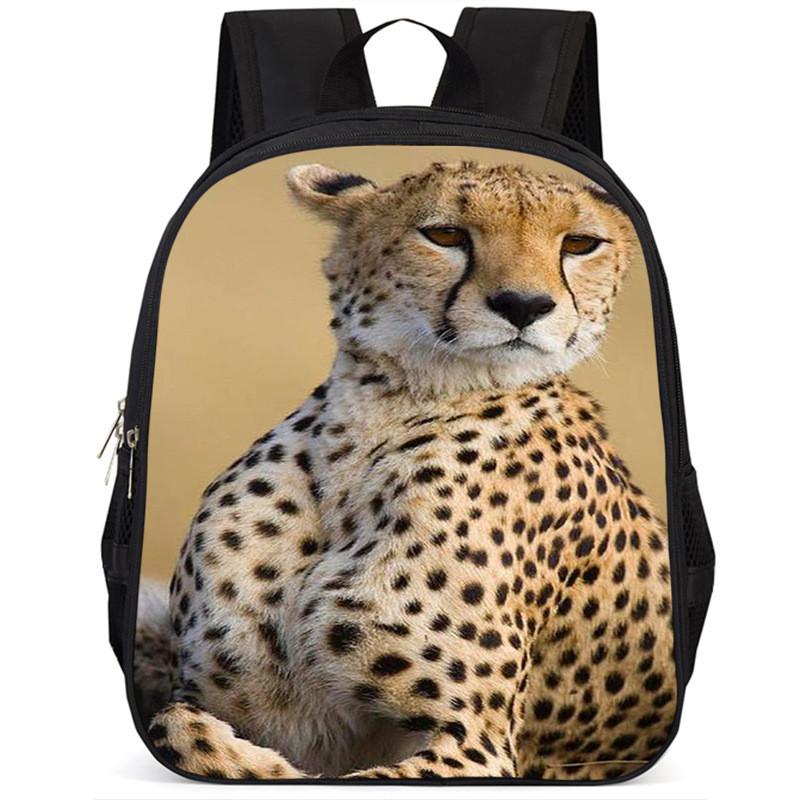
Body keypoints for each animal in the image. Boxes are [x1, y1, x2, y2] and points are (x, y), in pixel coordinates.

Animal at [135, 160, 677, 781]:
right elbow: (176, 724)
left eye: (581, 243)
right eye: (444, 234)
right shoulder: (220, 696)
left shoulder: (477, 745)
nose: (523, 304)